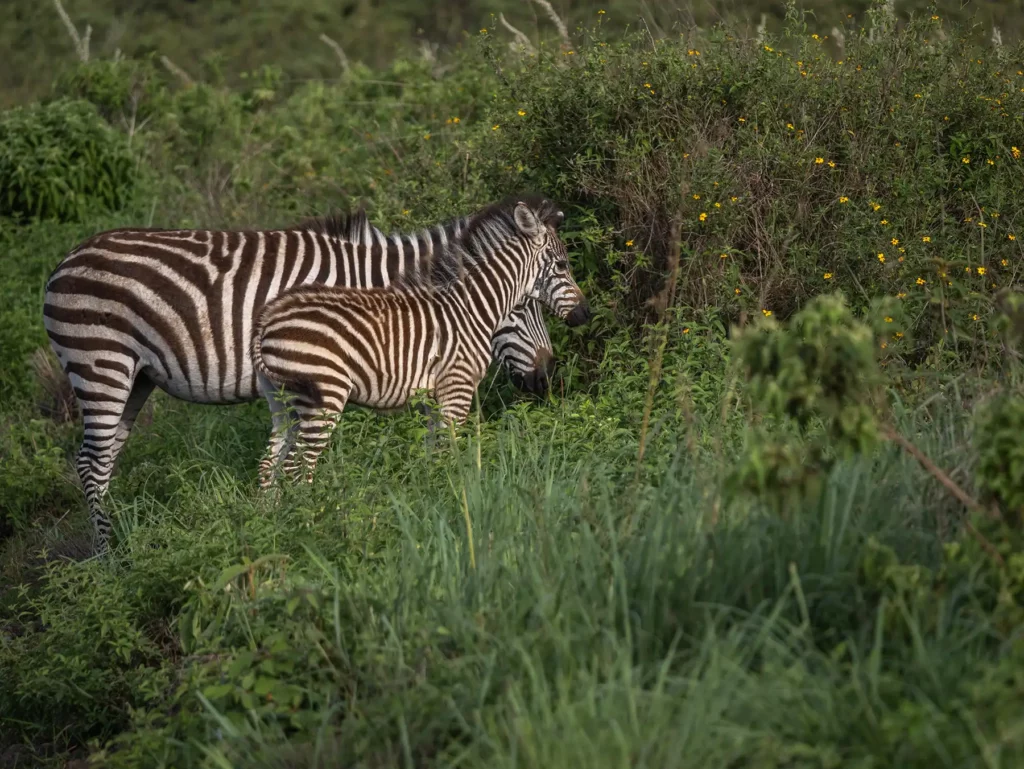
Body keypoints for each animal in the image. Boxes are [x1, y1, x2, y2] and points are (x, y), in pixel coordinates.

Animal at [42, 204, 561, 552]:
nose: (546, 378)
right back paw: (110, 558)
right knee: (90, 463)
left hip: (137, 378)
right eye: (523, 307)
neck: (376, 285)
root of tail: (62, 261)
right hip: (100, 362)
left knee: (105, 460)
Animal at [251, 195, 590, 488]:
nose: (585, 314)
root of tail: (265, 322)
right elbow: (449, 452)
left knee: (271, 462)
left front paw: (431, 492)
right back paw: (310, 514)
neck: (471, 307)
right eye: (562, 266)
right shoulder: (457, 387)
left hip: (282, 402)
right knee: (298, 466)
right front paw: (457, 498)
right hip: (324, 395)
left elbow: (431, 453)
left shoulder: (432, 396)